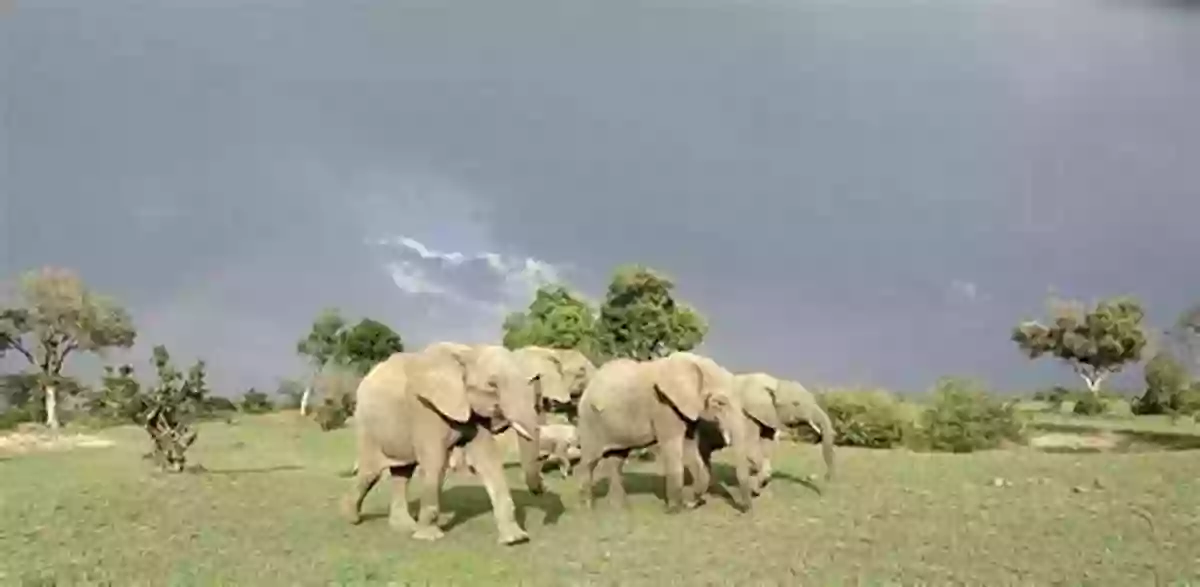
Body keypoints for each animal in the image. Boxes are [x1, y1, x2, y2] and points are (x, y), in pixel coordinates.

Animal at [338, 340, 544, 542]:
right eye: (492, 384)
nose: (540, 489)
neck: (470, 351)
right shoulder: (425, 408)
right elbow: (435, 461)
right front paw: (429, 537)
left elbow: (488, 460)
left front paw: (515, 539)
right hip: (367, 426)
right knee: (370, 472)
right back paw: (352, 518)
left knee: (402, 473)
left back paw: (404, 527)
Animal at [576, 350, 753, 511]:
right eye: (720, 403)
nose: (744, 508)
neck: (695, 363)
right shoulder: (663, 407)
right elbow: (673, 446)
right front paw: (675, 509)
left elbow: (690, 449)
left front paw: (691, 503)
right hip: (589, 420)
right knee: (590, 461)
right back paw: (587, 508)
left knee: (617, 460)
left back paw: (620, 508)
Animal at [696, 369, 835, 494]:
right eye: (796, 403)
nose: (826, 479)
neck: (775, 383)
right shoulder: (747, 413)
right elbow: (750, 446)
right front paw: (757, 484)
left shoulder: (768, 415)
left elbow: (767, 444)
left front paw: (758, 484)